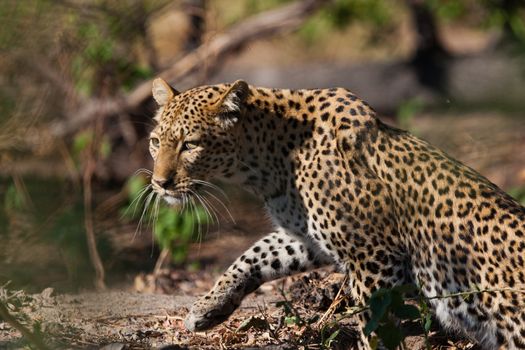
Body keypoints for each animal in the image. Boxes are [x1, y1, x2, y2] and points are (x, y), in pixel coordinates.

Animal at [146, 78, 524, 348]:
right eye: (155, 142)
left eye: (190, 145)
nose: (160, 183)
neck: (266, 162)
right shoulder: (307, 237)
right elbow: (254, 255)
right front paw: (206, 309)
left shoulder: (374, 255)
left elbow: (375, 322)